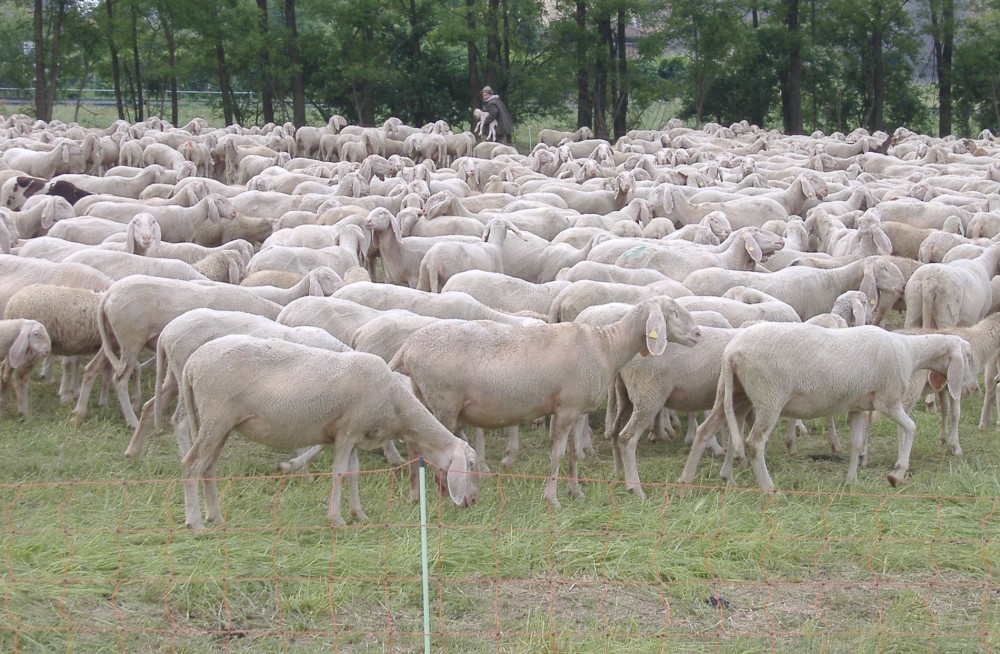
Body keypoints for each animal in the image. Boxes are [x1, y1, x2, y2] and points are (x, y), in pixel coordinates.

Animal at [179, 336, 479, 529]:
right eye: (471, 464)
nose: (472, 501)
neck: (396, 405)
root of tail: (191, 363)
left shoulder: (356, 434)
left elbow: (354, 473)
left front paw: (359, 514)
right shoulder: (347, 431)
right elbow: (339, 473)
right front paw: (337, 519)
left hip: (218, 424)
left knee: (208, 466)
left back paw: (216, 518)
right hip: (216, 416)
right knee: (191, 465)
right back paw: (195, 522)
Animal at [389, 296, 702, 507]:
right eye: (674, 312)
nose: (699, 333)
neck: (607, 347)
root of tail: (407, 347)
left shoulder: (575, 409)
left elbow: (573, 454)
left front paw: (576, 492)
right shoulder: (565, 409)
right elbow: (557, 454)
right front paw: (553, 499)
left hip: (424, 398)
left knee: (416, 446)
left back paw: (417, 495)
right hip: (444, 403)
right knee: (432, 449)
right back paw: (445, 495)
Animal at [677, 323, 975, 491]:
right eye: (969, 356)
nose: (971, 388)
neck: (909, 351)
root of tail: (732, 352)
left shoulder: (858, 405)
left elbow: (856, 443)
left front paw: (851, 480)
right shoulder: (887, 401)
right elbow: (911, 428)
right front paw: (897, 475)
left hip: (734, 394)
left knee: (705, 431)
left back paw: (688, 482)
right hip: (770, 396)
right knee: (753, 444)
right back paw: (770, 489)